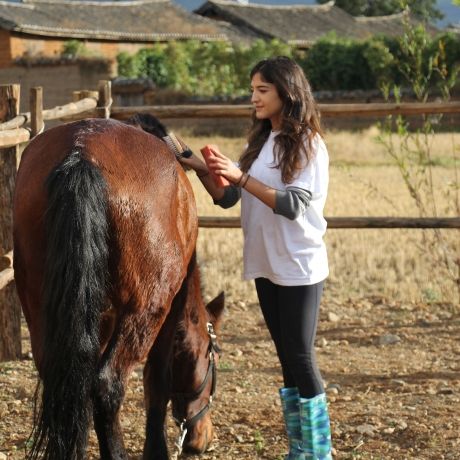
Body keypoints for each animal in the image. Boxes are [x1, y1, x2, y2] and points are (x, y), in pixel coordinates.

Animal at [12, 117, 225, 458]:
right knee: (106, 387)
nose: (201, 437)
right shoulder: (169, 311)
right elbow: (156, 381)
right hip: (144, 312)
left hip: (41, 306)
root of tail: (82, 153)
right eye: (212, 355)